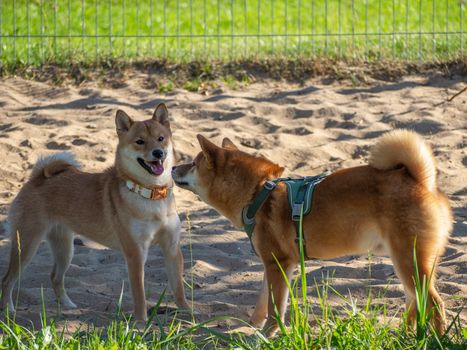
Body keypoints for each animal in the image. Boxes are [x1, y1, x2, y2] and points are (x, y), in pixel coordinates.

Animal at [2, 104, 188, 320]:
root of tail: (37, 178)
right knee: (7, 280)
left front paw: (190, 315)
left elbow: (178, 288)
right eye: (140, 142)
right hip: (26, 245)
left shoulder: (172, 248)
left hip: (65, 248)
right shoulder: (135, 253)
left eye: (161, 138)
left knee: (55, 277)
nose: (158, 153)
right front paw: (142, 321)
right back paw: (8, 310)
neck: (151, 195)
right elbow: (139, 295)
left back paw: (68, 306)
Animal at [173, 130, 454, 334]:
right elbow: (263, 302)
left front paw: (268, 334)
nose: (173, 167)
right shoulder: (274, 264)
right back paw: (407, 335)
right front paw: (253, 327)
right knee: (415, 302)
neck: (257, 193)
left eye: (194, 163)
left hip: (410, 262)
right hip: (409, 264)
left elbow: (276, 308)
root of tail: (421, 181)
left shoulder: (278, 264)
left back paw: (437, 338)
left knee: (435, 304)